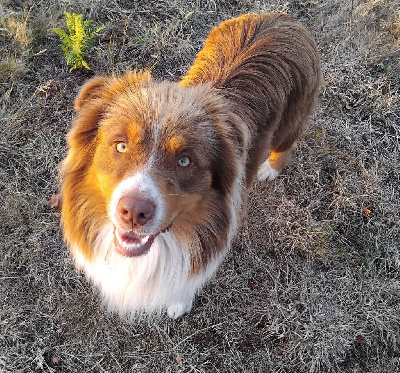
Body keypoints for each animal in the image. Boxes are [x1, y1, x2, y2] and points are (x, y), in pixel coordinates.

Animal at [60, 13, 322, 316]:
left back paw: (270, 168)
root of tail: (283, 17)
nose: (133, 212)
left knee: (286, 145)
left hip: (290, 122)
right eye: (121, 146)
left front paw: (178, 303)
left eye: (185, 160)